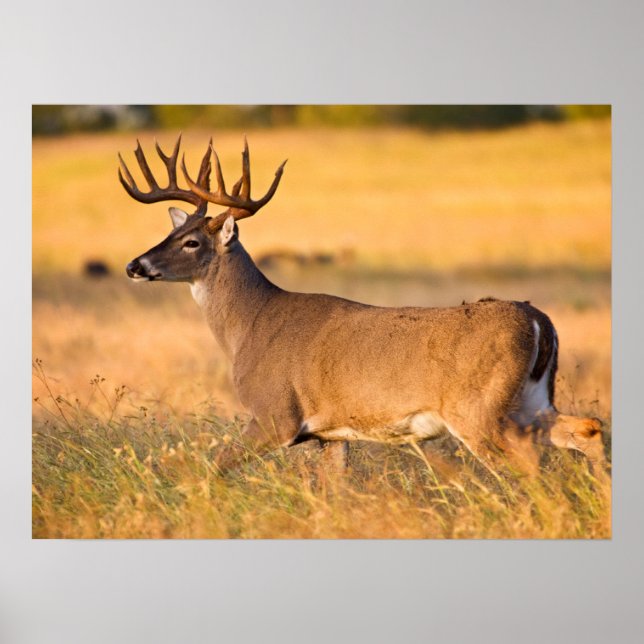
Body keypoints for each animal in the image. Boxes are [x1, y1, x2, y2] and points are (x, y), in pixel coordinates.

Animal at [120, 135, 607, 480]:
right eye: (169, 233)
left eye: (191, 242)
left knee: (527, 459)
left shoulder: (275, 414)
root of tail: (539, 319)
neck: (251, 325)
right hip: (531, 398)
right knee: (588, 428)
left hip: (478, 408)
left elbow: (211, 469)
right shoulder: (330, 435)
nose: (134, 265)